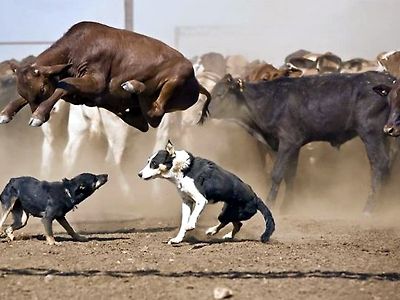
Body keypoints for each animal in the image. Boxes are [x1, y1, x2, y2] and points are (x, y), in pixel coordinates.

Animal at [0, 21, 211, 131]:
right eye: (25, 92)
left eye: (43, 89)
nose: (38, 112)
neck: (77, 48)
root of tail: (197, 83)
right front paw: (6, 113)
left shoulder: (96, 81)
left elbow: (65, 84)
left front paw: (38, 115)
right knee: (143, 122)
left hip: (176, 79)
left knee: (155, 114)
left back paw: (134, 85)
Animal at [138, 141, 276, 244]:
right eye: (148, 161)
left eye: (154, 163)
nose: (139, 174)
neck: (185, 169)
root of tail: (256, 198)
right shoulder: (186, 202)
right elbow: (183, 222)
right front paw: (178, 239)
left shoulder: (201, 200)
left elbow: (192, 216)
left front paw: (190, 225)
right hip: (227, 211)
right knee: (236, 224)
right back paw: (217, 233)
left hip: (234, 213)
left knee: (234, 223)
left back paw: (215, 231)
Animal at [209, 71, 396, 212]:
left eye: (221, 94)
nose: (208, 111)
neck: (269, 101)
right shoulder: (295, 145)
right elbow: (290, 175)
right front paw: (287, 207)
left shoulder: (288, 141)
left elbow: (277, 174)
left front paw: (271, 204)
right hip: (384, 136)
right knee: (387, 165)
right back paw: (385, 206)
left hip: (371, 133)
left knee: (379, 163)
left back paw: (369, 209)